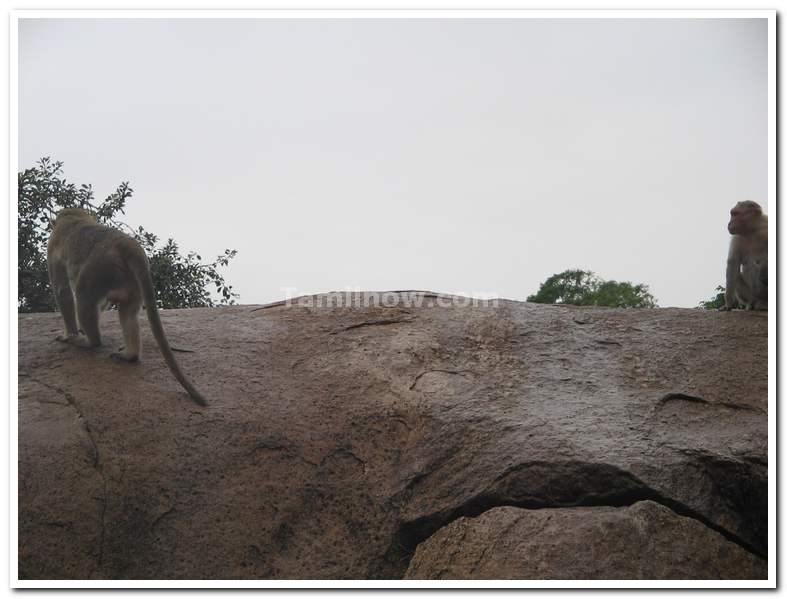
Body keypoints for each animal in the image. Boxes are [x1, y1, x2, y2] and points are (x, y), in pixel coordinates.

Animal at [45, 209, 206, 406]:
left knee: (84, 295)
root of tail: (127, 244)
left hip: (99, 267)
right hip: (130, 281)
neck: (74, 217)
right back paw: (130, 356)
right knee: (127, 313)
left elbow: (63, 292)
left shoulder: (53, 246)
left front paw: (69, 334)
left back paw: (90, 342)